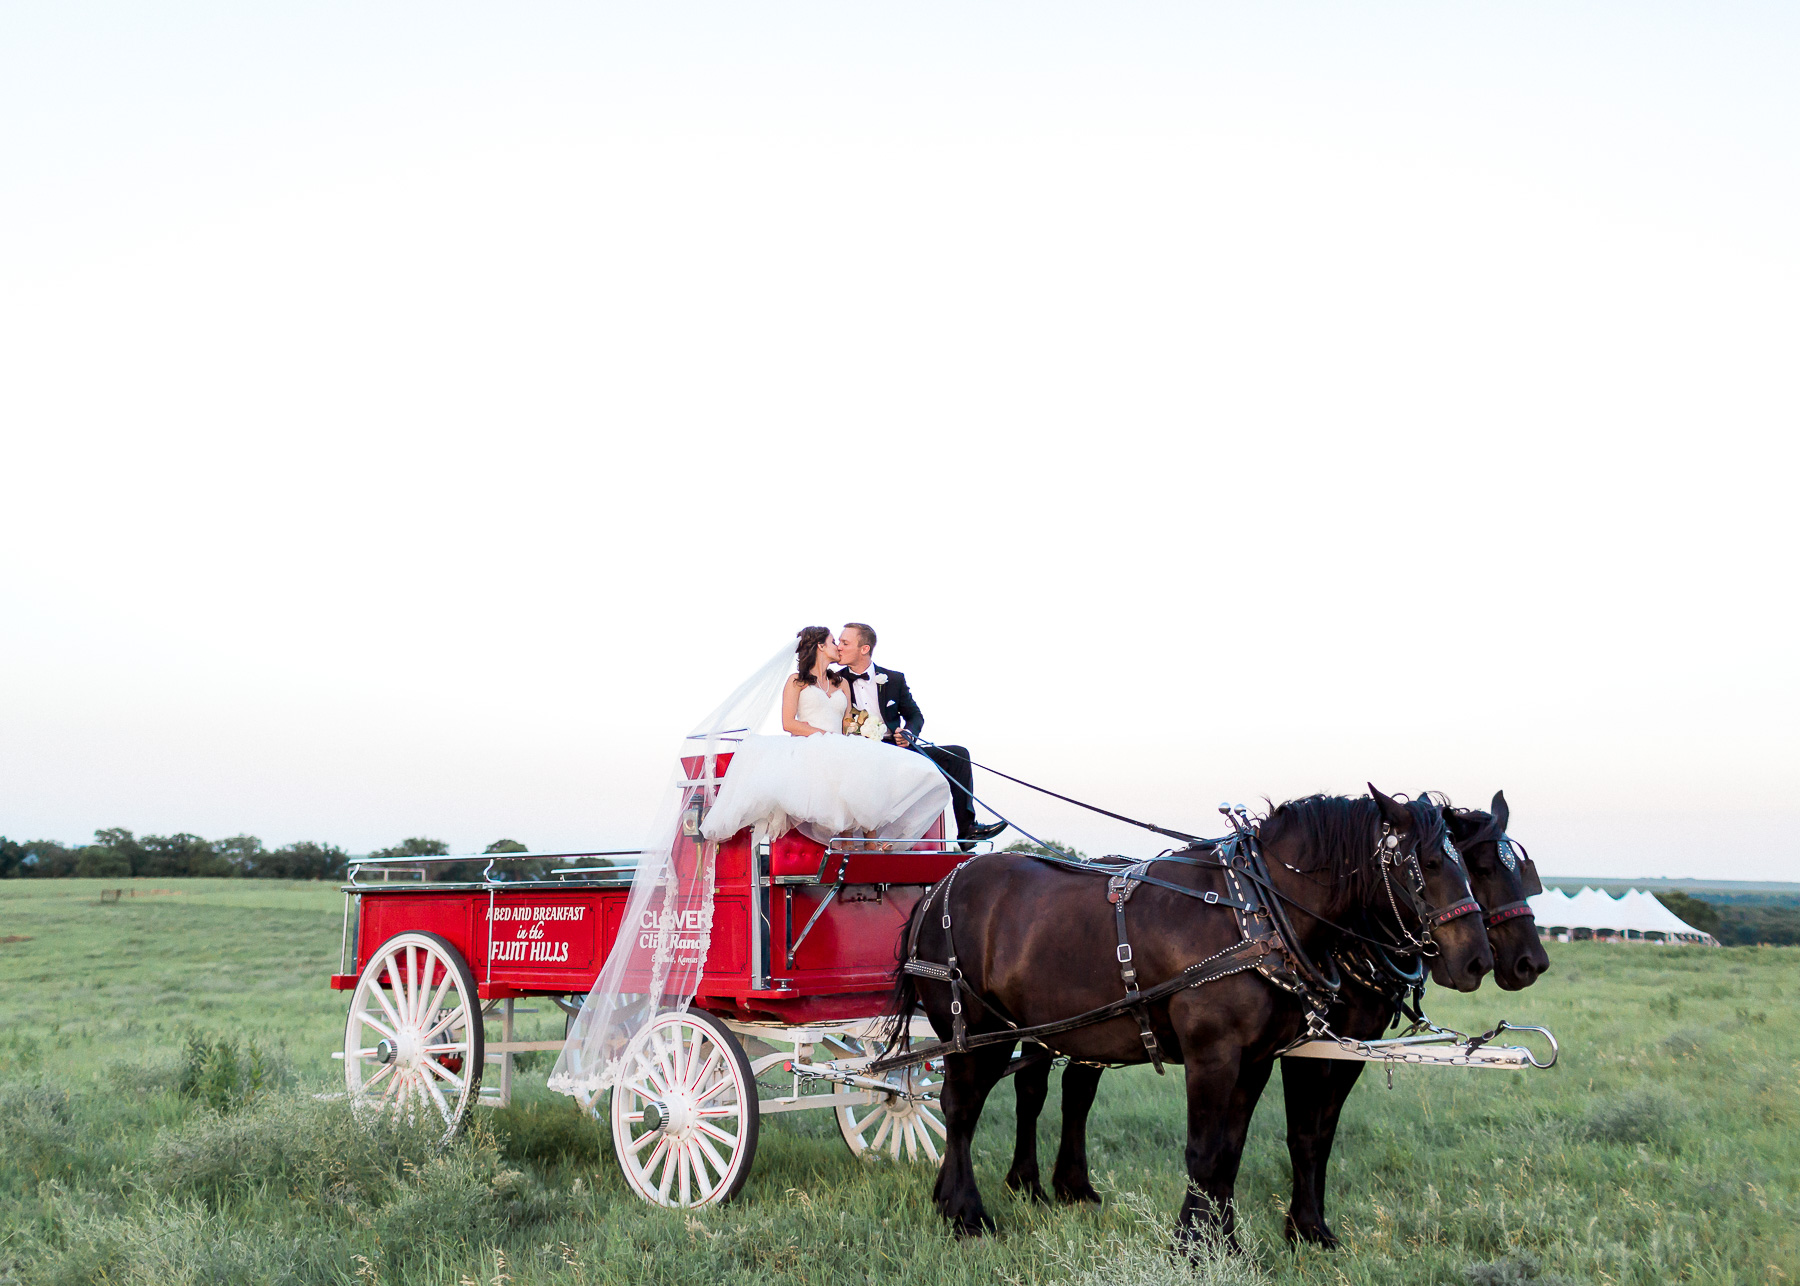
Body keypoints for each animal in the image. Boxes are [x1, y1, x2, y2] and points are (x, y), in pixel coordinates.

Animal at [885, 785, 1490, 1239]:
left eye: (1468, 864)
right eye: (1427, 863)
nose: (1477, 960)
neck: (1256, 908)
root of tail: (938, 888)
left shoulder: (1257, 1059)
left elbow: (1230, 1151)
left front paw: (1225, 1238)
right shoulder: (1212, 1054)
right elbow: (1203, 1151)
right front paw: (1192, 1243)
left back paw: (955, 1197)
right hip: (974, 1029)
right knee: (959, 1108)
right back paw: (966, 1213)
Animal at [1008, 785, 1555, 1224]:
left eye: (1520, 872)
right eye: (1479, 868)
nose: (1527, 963)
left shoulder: (1344, 1048)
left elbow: (1319, 1135)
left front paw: (1303, 1223)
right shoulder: (1304, 1051)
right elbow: (1303, 1135)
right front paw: (1302, 1226)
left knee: (1076, 1087)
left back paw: (1072, 1187)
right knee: (1032, 1088)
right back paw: (1027, 1184)